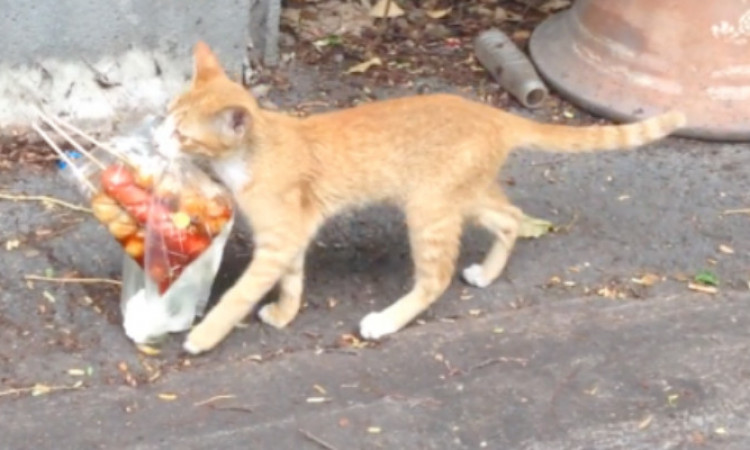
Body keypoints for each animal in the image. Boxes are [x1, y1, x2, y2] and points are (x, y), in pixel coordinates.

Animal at [162, 42, 692, 356]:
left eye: (182, 133)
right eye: (168, 112)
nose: (158, 136)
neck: (253, 152)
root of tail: (489, 113)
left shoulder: (280, 236)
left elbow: (238, 294)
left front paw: (203, 335)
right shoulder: (290, 233)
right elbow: (292, 279)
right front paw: (286, 312)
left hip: (429, 211)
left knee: (436, 278)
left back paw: (385, 321)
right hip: (463, 197)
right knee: (511, 216)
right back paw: (487, 272)